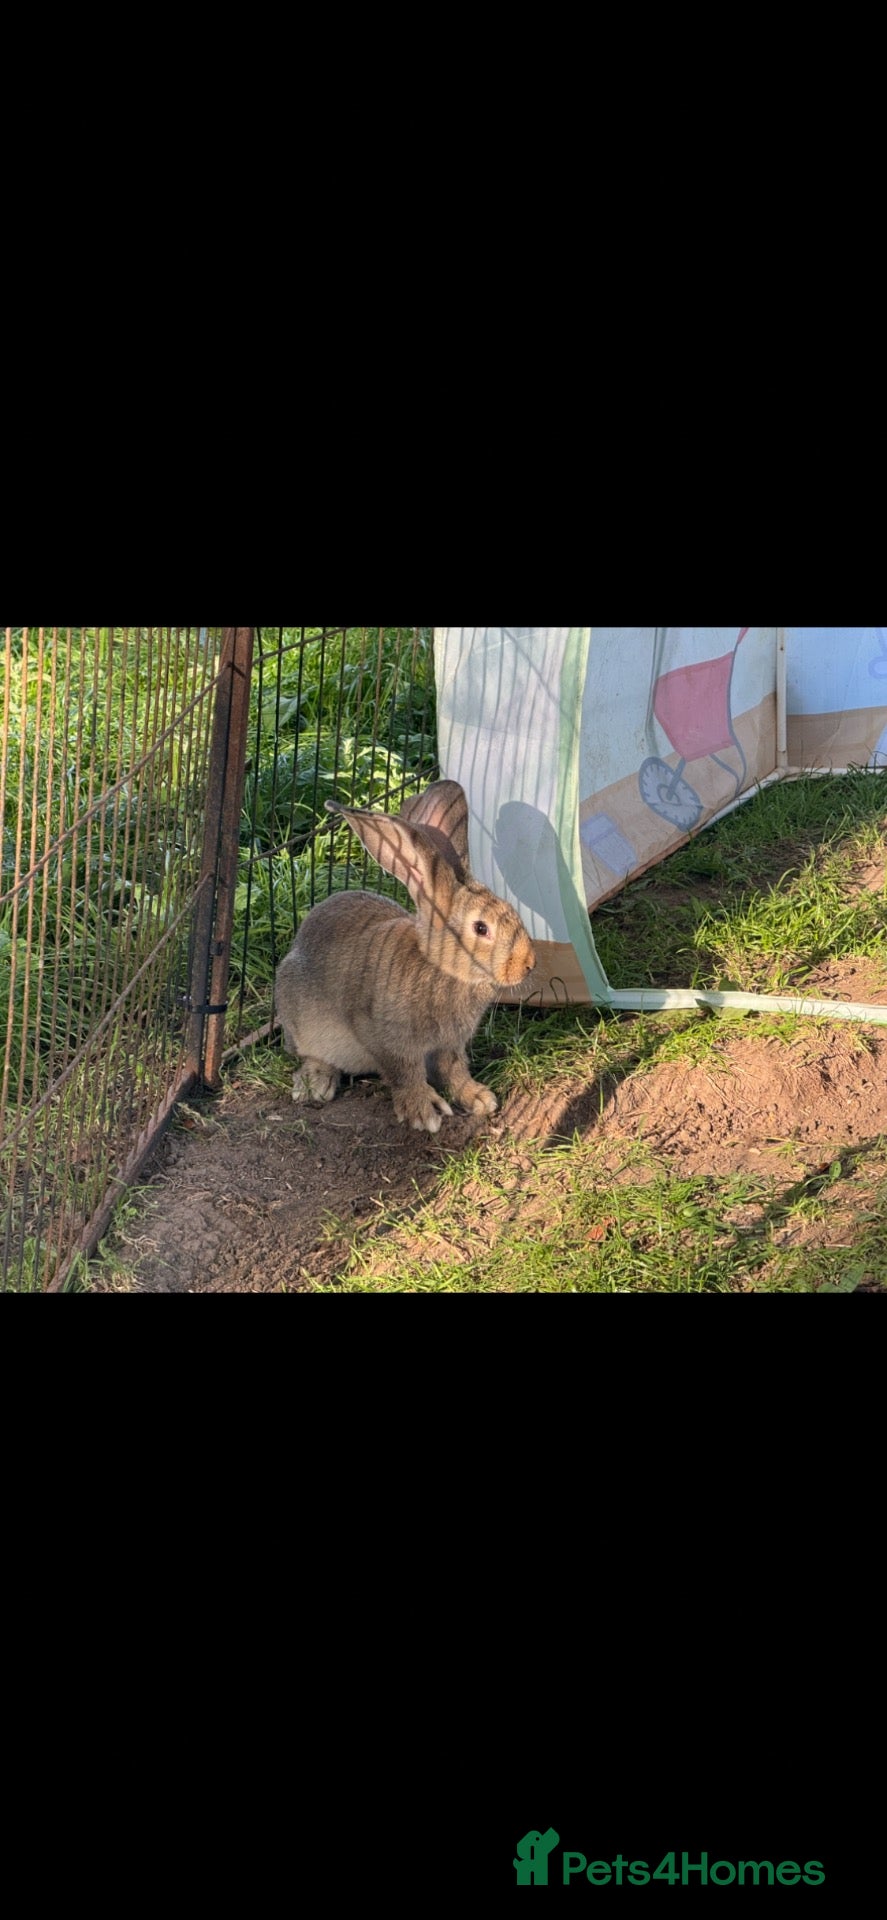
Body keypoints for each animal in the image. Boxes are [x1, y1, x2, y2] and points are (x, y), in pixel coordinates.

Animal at [274, 779, 537, 1133]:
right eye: (481, 928)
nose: (528, 964)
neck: (441, 967)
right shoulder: (386, 1039)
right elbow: (405, 1074)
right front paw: (424, 1112)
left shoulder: (449, 1045)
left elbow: (454, 1069)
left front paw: (479, 1098)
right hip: (299, 1017)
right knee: (310, 1055)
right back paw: (316, 1084)